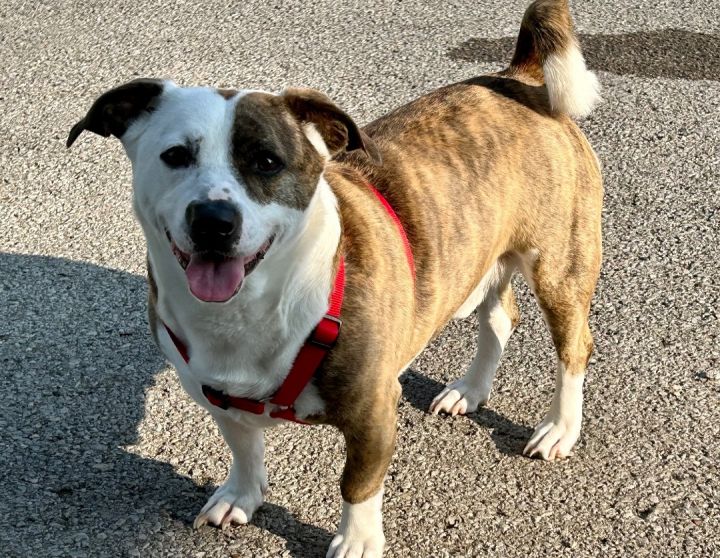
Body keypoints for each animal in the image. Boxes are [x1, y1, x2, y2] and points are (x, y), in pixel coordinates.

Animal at [69, 2, 600, 556]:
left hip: (560, 267)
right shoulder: (218, 395)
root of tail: (516, 78)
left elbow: (358, 484)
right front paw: (241, 494)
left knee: (574, 348)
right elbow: (243, 446)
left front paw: (357, 539)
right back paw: (471, 390)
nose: (214, 219)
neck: (248, 309)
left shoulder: (373, 412)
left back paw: (560, 427)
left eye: (267, 161)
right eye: (175, 155)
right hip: (485, 255)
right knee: (500, 318)